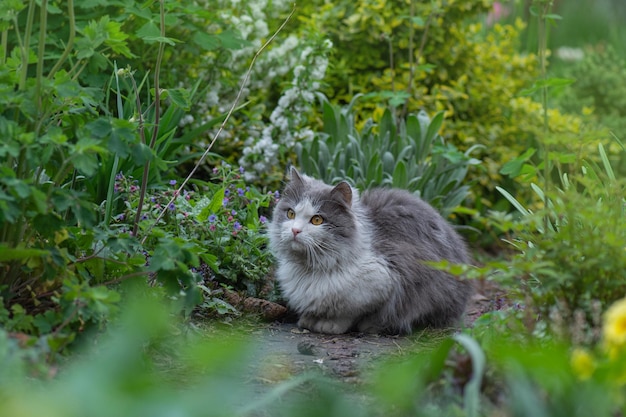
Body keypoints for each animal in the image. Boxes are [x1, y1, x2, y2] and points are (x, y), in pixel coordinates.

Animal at [266, 167, 470, 334]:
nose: (295, 230)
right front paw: (309, 320)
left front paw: (329, 324)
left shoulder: (382, 281)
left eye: (317, 220)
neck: (311, 267)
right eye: (291, 213)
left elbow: (349, 313)